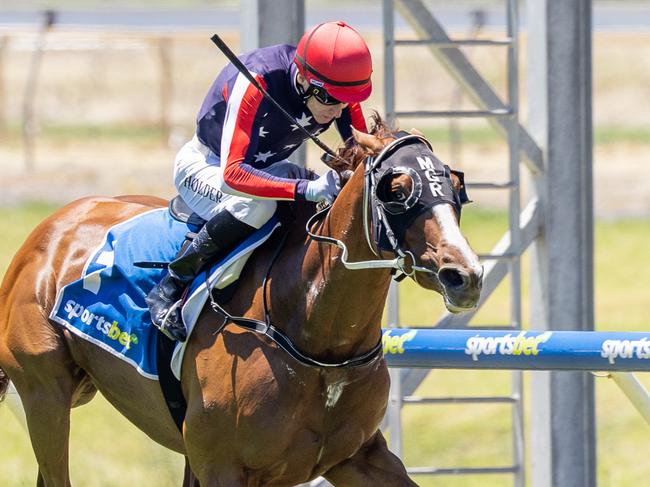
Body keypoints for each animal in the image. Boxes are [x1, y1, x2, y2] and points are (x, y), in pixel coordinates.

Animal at [0, 119, 480, 487]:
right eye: (396, 189)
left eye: (454, 184)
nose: (465, 276)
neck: (317, 341)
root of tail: (50, 228)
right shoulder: (221, 465)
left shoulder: (358, 456)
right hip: (45, 393)